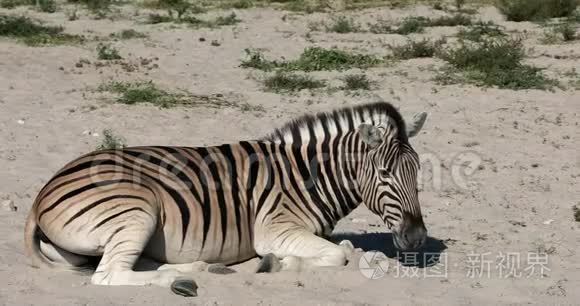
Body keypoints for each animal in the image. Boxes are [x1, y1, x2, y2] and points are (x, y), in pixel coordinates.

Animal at [23, 102, 426, 296]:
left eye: (418, 170)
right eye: (385, 174)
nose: (418, 239)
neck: (305, 178)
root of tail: (41, 195)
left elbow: (349, 249)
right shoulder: (275, 230)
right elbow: (339, 255)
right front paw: (277, 264)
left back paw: (200, 268)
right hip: (138, 208)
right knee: (109, 275)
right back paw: (179, 281)